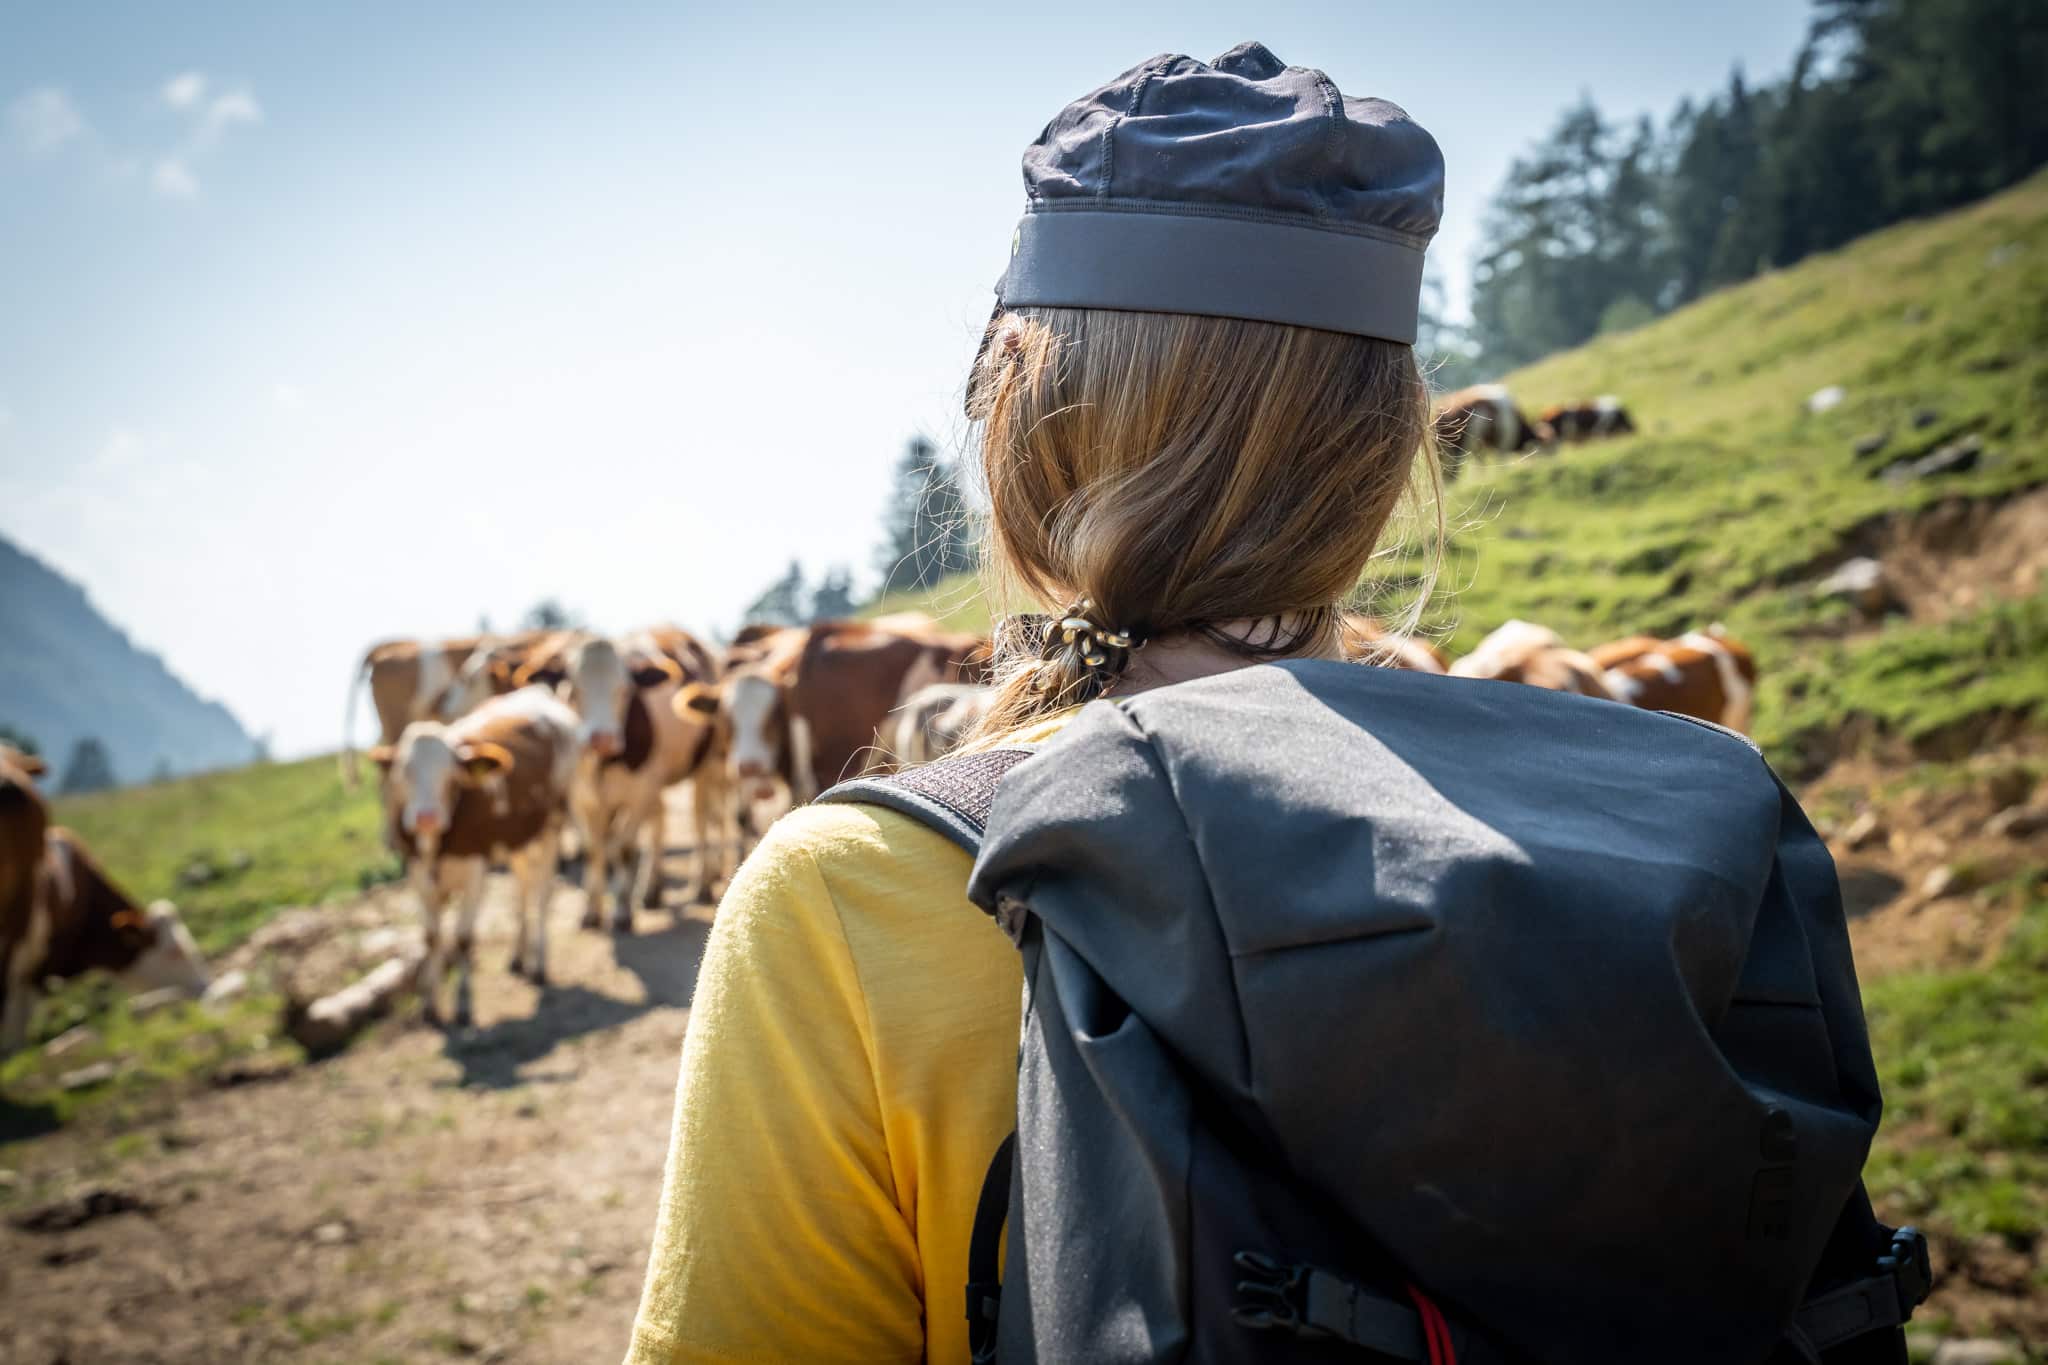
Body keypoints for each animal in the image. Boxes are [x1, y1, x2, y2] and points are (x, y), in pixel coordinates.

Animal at [374, 683, 581, 1023]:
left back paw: (539, 963)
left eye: (450, 774)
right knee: (522, 891)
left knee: (541, 894)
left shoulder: (474, 873)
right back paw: (519, 956)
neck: (435, 845)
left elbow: (462, 939)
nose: (426, 817)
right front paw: (429, 1005)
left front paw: (462, 1005)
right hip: (518, 838)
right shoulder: (417, 875)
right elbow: (430, 937)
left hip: (552, 824)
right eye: (404, 771)